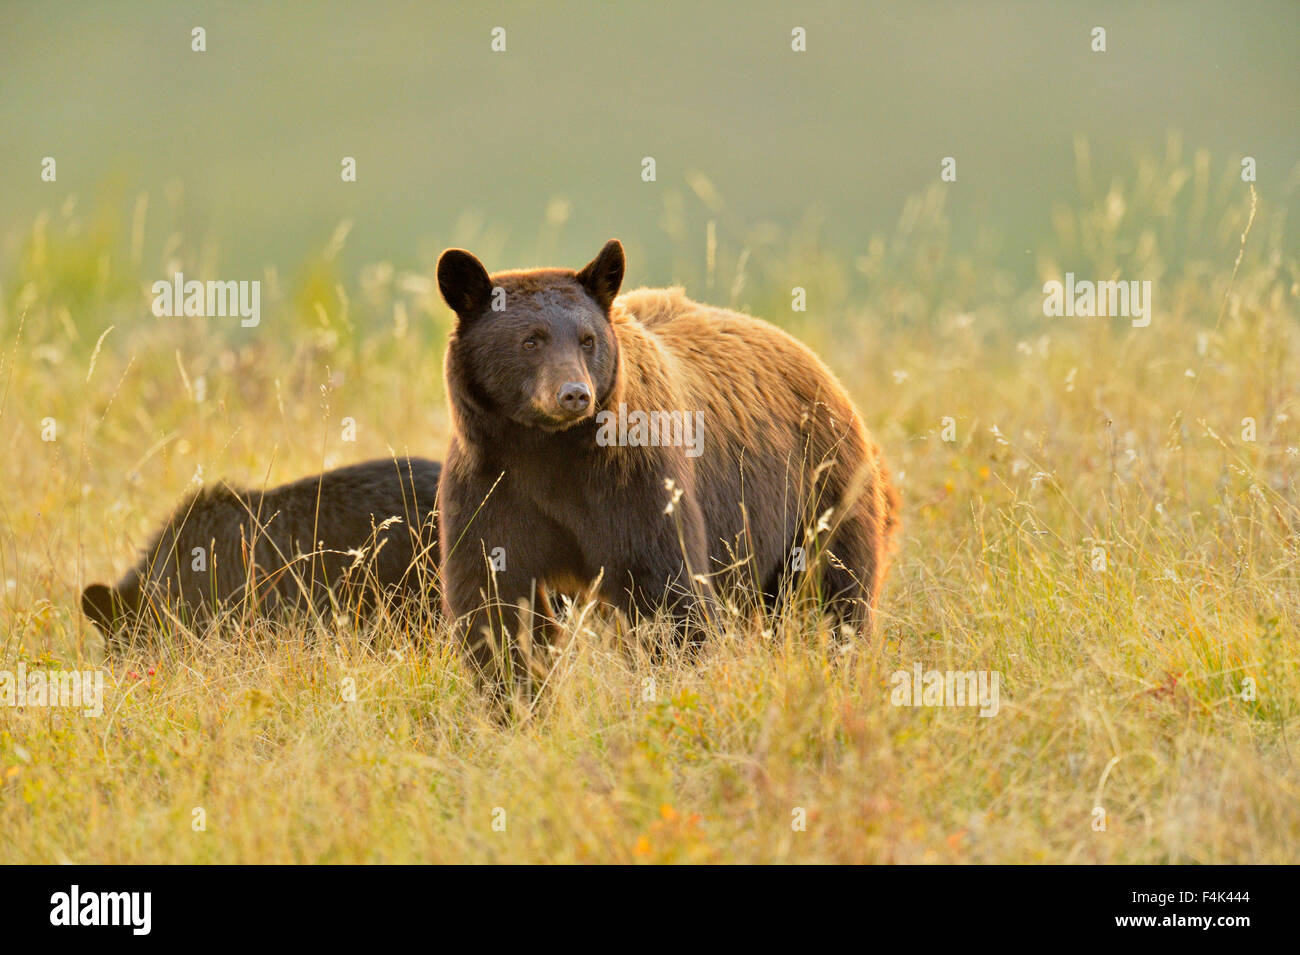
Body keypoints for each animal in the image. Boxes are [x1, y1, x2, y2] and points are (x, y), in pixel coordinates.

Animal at [436, 237, 904, 686]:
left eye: (587, 340)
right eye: (530, 340)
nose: (574, 394)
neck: (547, 451)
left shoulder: (633, 478)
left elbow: (666, 589)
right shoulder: (491, 482)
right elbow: (493, 598)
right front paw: (513, 692)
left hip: (818, 490)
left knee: (833, 594)